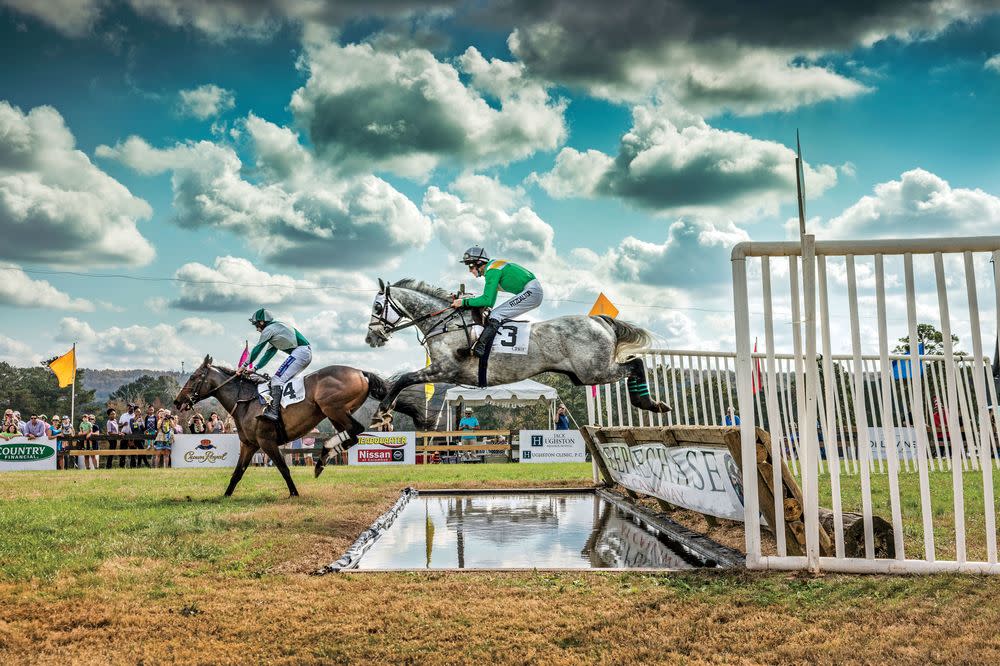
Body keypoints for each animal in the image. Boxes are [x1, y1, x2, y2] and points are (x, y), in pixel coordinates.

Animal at [172, 356, 422, 496]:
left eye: (194, 377)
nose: (177, 401)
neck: (245, 401)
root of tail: (361, 372)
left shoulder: (266, 442)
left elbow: (284, 468)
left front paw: (293, 493)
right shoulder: (249, 445)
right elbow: (237, 473)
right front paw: (226, 495)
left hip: (333, 407)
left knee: (356, 431)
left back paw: (324, 454)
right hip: (334, 413)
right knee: (351, 435)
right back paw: (322, 459)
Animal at [364, 276, 668, 422]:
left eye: (377, 307)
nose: (372, 338)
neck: (445, 322)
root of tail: (597, 320)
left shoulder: (443, 369)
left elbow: (403, 379)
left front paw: (382, 410)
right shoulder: (444, 373)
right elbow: (403, 380)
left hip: (595, 370)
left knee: (635, 364)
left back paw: (649, 403)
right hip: (584, 375)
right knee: (633, 364)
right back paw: (649, 403)